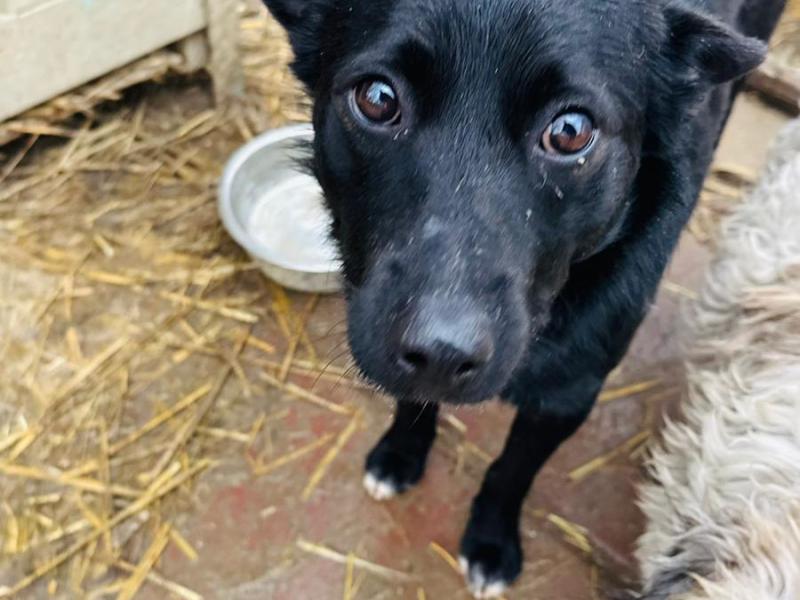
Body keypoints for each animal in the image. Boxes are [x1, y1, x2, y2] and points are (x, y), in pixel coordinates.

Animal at [259, 0, 785, 596]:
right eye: (377, 98)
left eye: (571, 132)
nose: (443, 351)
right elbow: (411, 399)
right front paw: (400, 453)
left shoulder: (568, 393)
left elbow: (512, 470)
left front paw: (490, 541)